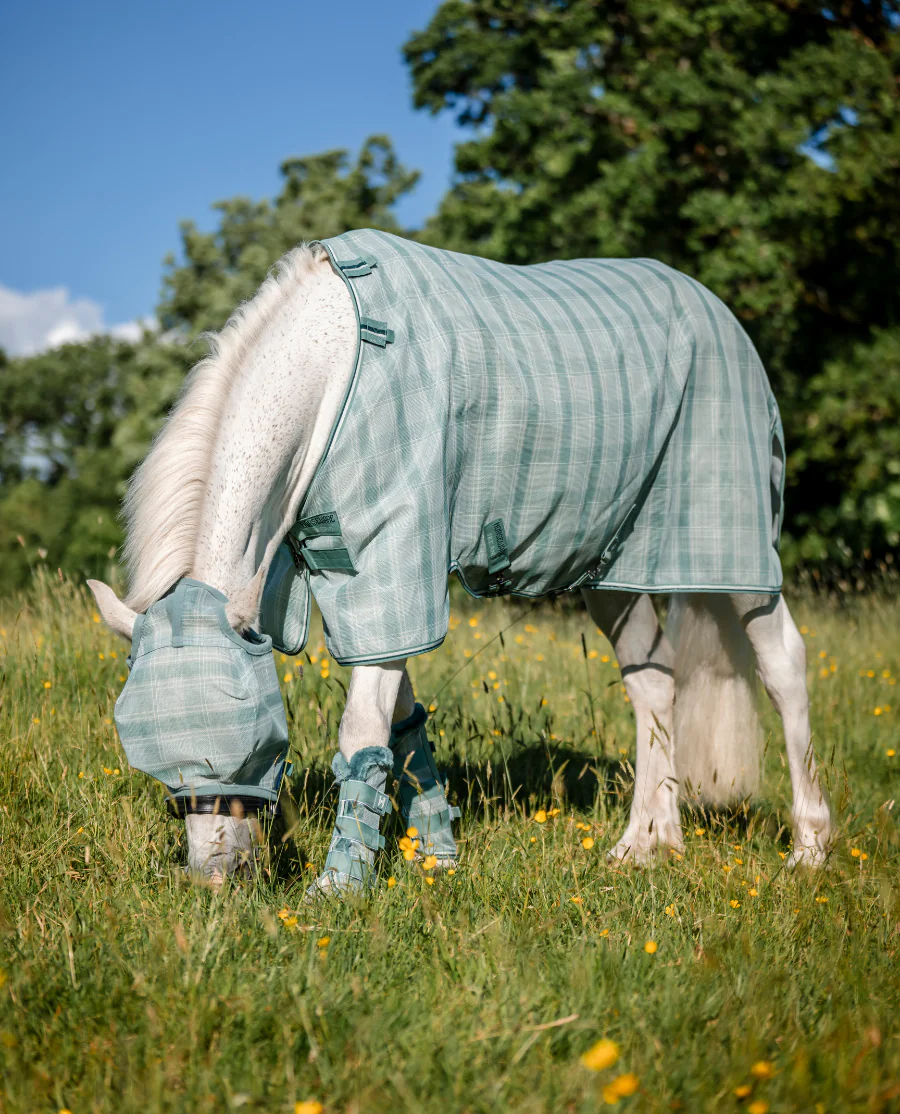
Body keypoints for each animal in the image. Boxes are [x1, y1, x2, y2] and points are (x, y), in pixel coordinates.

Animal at [88, 230, 833, 890]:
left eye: (258, 741)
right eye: (151, 758)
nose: (216, 880)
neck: (339, 365)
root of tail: (719, 311)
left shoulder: (395, 551)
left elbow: (362, 727)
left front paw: (340, 884)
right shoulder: (374, 579)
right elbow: (401, 720)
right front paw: (437, 856)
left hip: (735, 550)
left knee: (784, 666)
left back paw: (809, 851)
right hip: (614, 569)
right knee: (653, 682)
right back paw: (646, 844)